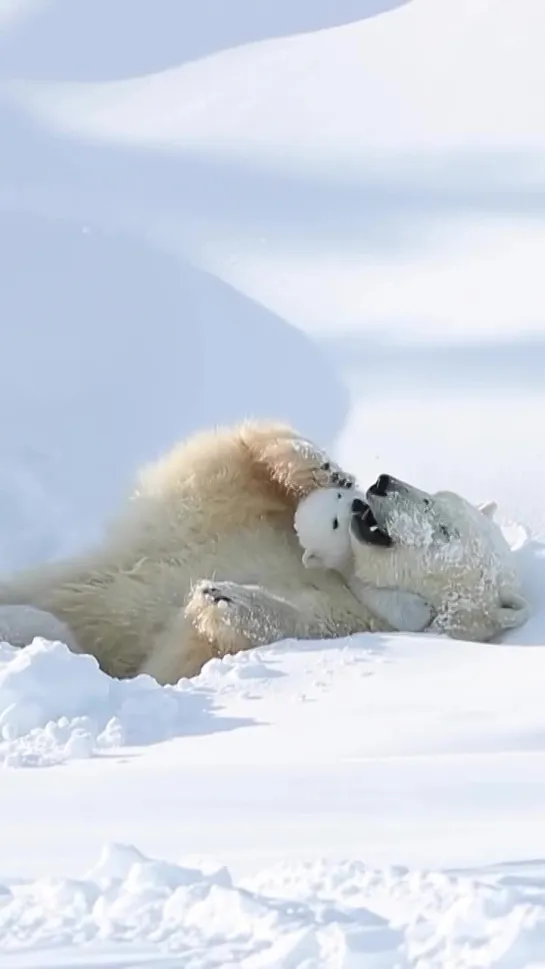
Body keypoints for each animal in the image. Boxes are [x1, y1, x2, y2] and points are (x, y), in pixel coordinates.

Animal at [0, 420, 396, 684]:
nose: (359, 504)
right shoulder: (223, 506)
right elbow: (235, 452)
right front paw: (326, 471)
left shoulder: (354, 616)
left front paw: (222, 596)